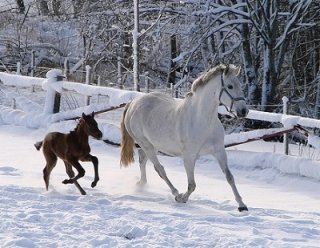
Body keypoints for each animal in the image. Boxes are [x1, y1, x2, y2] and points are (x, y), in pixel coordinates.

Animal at [121, 64, 249, 211]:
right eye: (230, 86)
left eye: (240, 85)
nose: (244, 111)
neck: (202, 121)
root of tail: (133, 103)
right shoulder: (189, 156)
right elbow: (192, 185)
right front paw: (182, 198)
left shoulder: (219, 151)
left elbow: (229, 177)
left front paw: (242, 205)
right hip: (146, 144)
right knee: (159, 169)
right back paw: (175, 193)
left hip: (154, 145)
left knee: (142, 158)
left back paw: (142, 183)